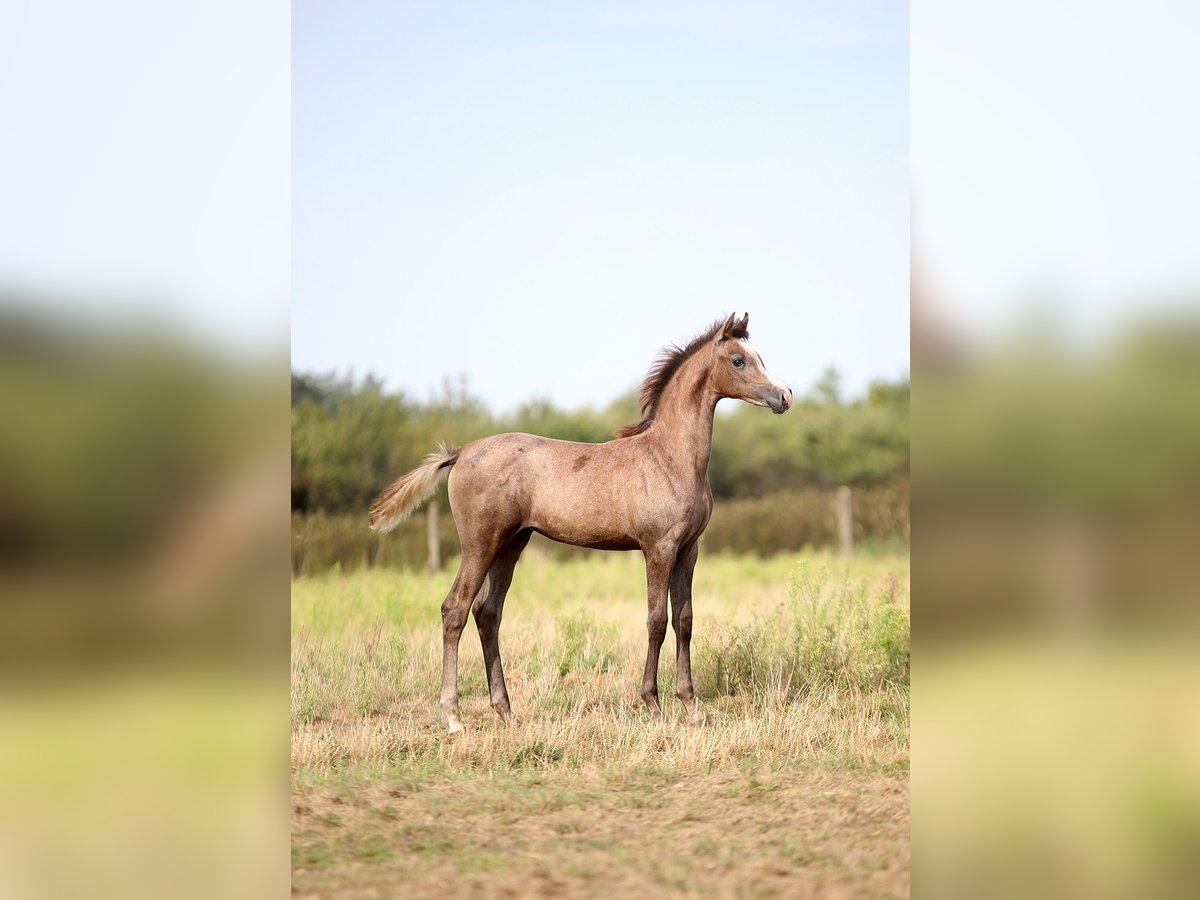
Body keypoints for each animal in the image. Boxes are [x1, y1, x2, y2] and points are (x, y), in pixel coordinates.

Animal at [369, 313, 792, 732]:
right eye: (738, 360)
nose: (784, 396)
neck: (670, 457)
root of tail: (461, 453)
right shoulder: (658, 549)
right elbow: (656, 620)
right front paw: (654, 706)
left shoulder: (689, 550)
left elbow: (684, 621)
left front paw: (692, 707)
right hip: (480, 544)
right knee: (454, 609)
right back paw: (454, 717)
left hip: (512, 544)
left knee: (487, 613)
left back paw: (507, 712)